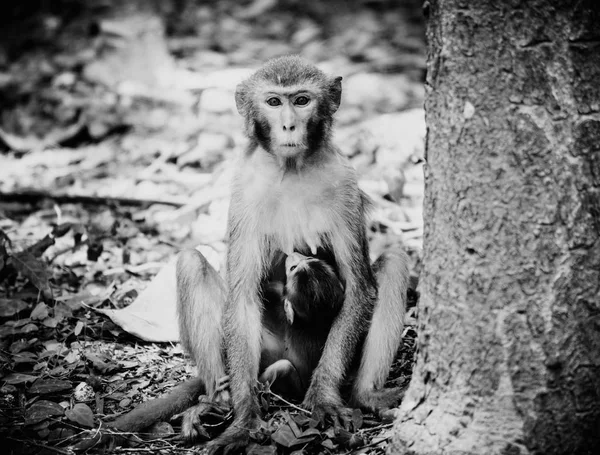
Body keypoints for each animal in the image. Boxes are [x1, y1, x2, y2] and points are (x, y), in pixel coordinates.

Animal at [173, 57, 410, 452]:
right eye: (273, 102)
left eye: (301, 100)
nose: (288, 125)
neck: (291, 169)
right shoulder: (244, 187)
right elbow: (241, 298)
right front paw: (244, 420)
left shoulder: (344, 182)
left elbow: (359, 289)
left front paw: (323, 397)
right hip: (262, 351)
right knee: (191, 263)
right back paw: (217, 400)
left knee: (393, 263)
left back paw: (365, 395)